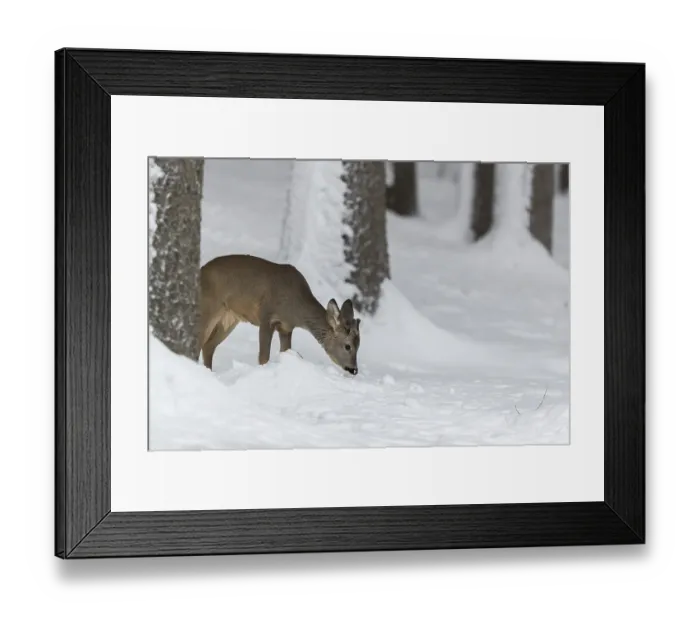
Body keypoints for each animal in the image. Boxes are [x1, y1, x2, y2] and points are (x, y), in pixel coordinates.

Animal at [197, 254, 361, 375]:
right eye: (347, 346)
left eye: (359, 345)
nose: (354, 369)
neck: (295, 309)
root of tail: (200, 270)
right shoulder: (266, 317)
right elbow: (263, 357)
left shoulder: (286, 328)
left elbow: (285, 351)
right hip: (208, 306)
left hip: (230, 318)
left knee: (208, 346)